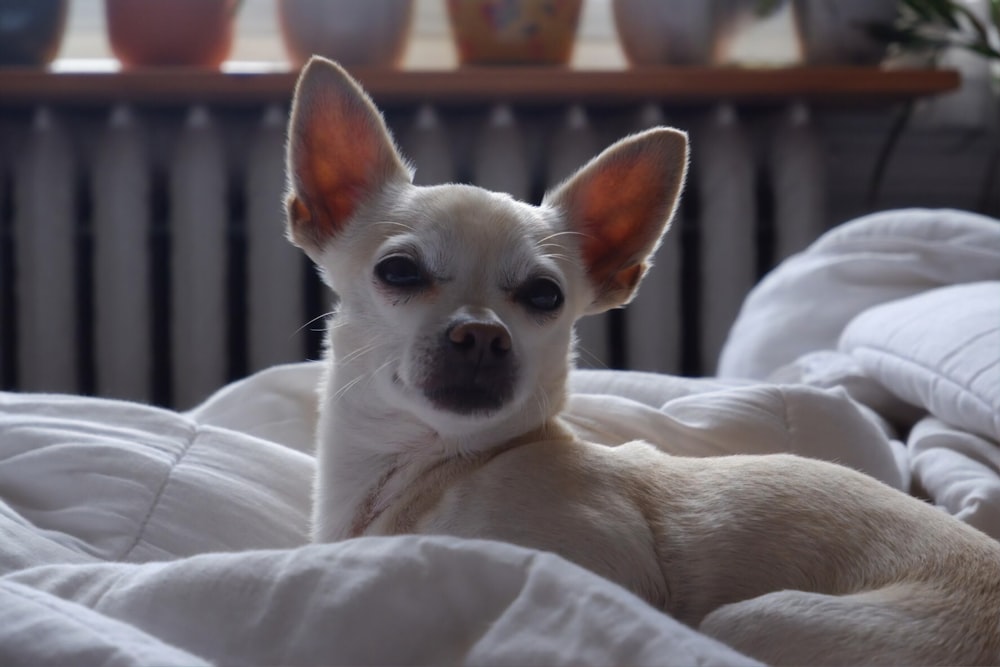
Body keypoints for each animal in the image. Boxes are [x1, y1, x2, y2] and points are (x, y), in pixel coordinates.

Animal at [286, 58, 1000, 667]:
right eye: (398, 272)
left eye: (544, 296)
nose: (484, 335)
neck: (433, 466)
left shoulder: (588, 571)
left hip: (750, 621)